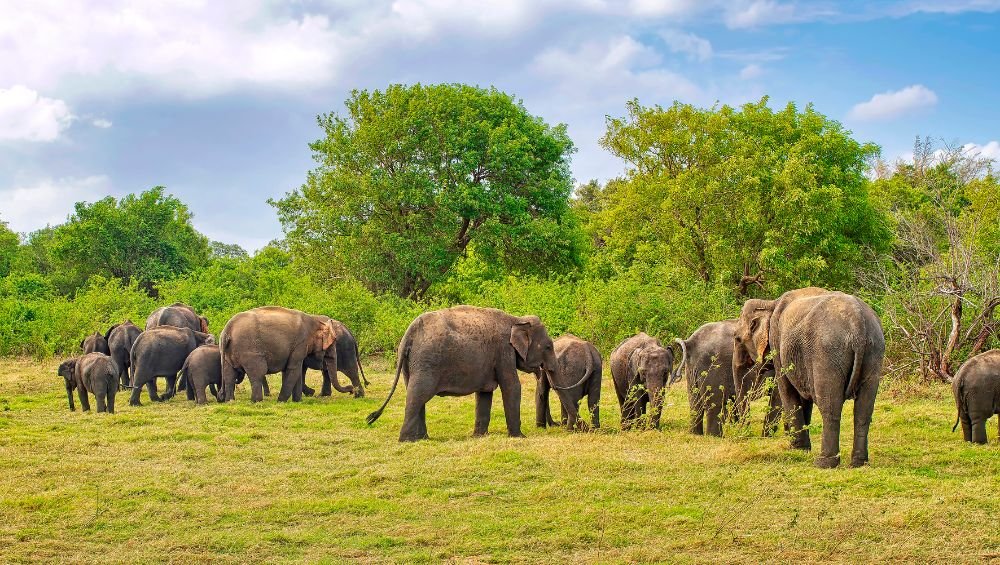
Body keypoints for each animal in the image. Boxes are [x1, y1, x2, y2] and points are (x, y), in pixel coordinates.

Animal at [366, 305, 559, 442]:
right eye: (548, 347)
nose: (555, 424)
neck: (516, 319)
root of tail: (408, 334)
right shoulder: (503, 351)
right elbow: (512, 386)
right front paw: (520, 437)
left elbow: (484, 393)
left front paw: (479, 437)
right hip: (426, 362)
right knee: (418, 395)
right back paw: (407, 441)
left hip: (411, 363)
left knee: (415, 394)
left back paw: (422, 439)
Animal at [734, 288, 884, 468]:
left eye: (737, 338)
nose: (746, 436)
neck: (770, 303)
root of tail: (858, 322)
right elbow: (803, 398)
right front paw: (803, 449)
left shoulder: (777, 342)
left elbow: (787, 390)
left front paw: (796, 449)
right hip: (874, 350)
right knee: (864, 409)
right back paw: (859, 463)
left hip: (827, 353)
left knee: (829, 406)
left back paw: (823, 463)